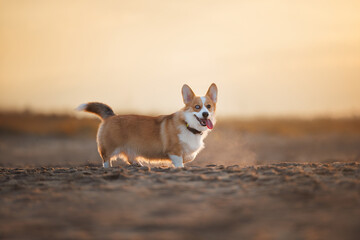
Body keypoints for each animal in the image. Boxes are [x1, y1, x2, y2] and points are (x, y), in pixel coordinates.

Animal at [76, 83, 217, 168]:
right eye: (197, 107)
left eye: (208, 106)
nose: (205, 114)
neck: (189, 126)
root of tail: (110, 116)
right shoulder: (175, 152)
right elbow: (179, 163)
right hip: (109, 148)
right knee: (106, 160)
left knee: (131, 159)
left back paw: (140, 166)